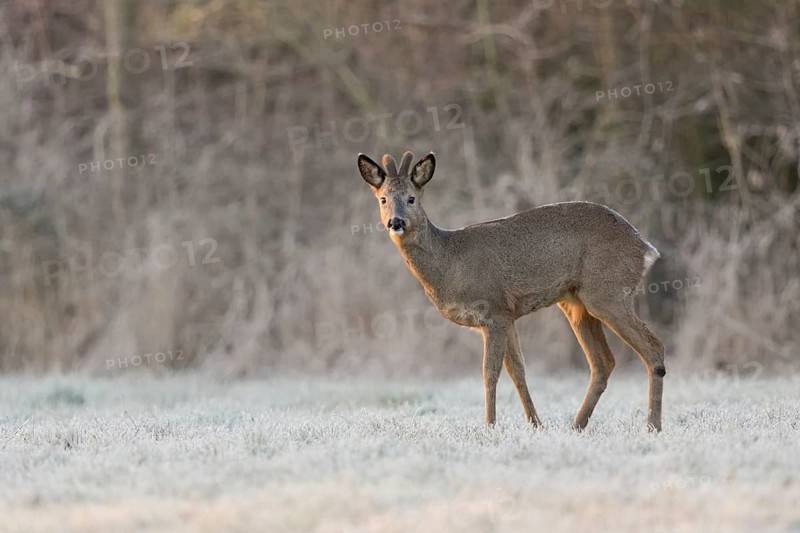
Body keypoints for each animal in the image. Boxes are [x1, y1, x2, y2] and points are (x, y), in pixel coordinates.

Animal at [357, 151, 666, 432]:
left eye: (412, 198)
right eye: (383, 199)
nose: (396, 222)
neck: (451, 262)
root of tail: (645, 248)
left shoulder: (494, 310)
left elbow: (490, 373)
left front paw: (490, 426)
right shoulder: (506, 317)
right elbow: (518, 371)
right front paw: (536, 424)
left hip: (607, 292)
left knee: (653, 348)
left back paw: (652, 426)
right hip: (576, 304)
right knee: (603, 363)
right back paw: (576, 426)